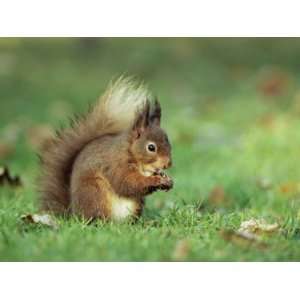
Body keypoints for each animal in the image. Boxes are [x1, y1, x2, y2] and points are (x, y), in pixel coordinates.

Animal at [38, 77, 172, 220]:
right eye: (151, 147)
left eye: (168, 142)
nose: (168, 164)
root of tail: (73, 213)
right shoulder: (116, 165)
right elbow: (127, 182)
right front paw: (156, 180)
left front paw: (167, 180)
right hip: (95, 193)